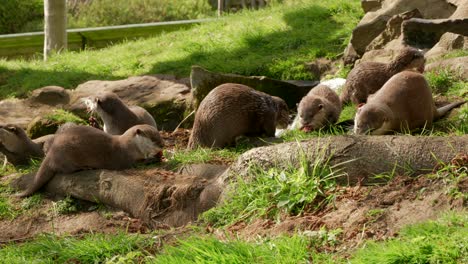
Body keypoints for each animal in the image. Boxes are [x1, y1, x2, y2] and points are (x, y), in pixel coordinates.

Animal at [16, 125, 165, 197]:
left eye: (159, 135)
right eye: (154, 139)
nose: (163, 145)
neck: (129, 147)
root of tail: (51, 153)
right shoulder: (126, 159)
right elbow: (138, 163)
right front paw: (153, 158)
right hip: (66, 156)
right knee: (65, 169)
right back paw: (85, 168)